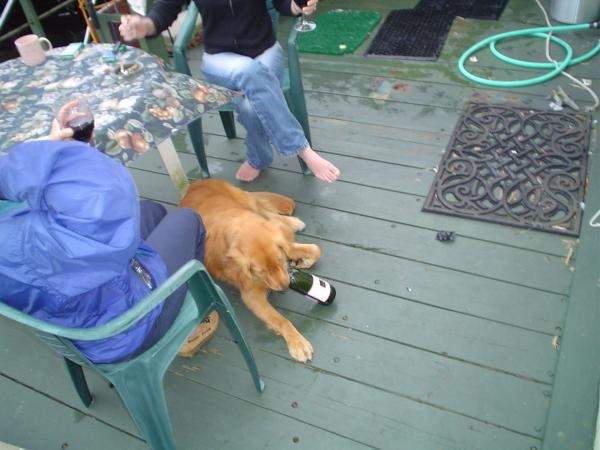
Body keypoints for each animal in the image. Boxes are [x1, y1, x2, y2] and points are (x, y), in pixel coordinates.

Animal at [180, 179, 322, 362]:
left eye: (280, 260)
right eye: (261, 271)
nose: (284, 287)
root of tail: (196, 183)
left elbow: (315, 249)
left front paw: (302, 261)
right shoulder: (251, 295)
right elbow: (281, 320)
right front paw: (297, 342)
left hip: (246, 201)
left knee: (269, 213)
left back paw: (292, 223)